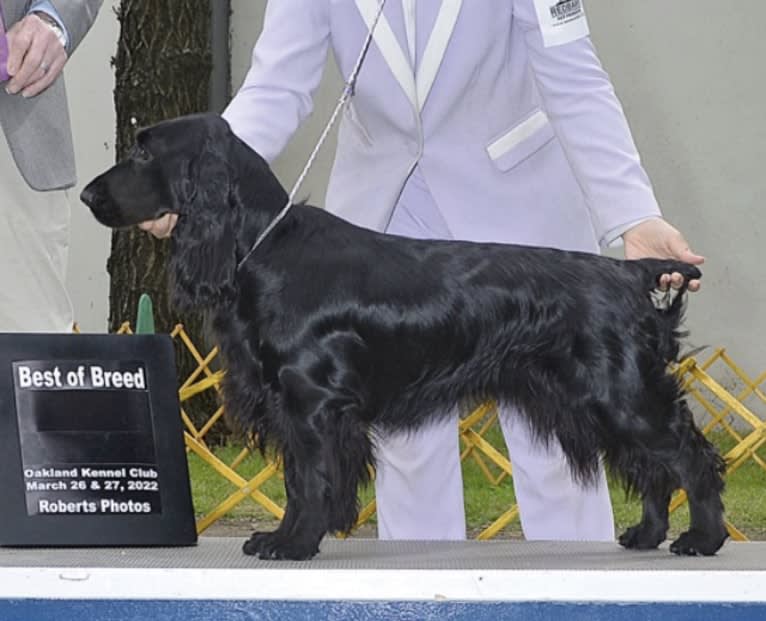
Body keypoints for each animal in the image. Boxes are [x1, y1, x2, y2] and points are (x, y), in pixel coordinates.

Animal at [81, 114, 728, 560]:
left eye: (144, 150)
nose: (87, 195)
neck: (262, 246)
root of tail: (629, 273)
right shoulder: (291, 402)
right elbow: (295, 479)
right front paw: (284, 536)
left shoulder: (313, 402)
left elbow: (311, 480)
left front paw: (293, 543)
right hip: (602, 402)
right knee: (653, 467)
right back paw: (646, 533)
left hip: (621, 395)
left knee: (689, 455)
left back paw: (703, 537)